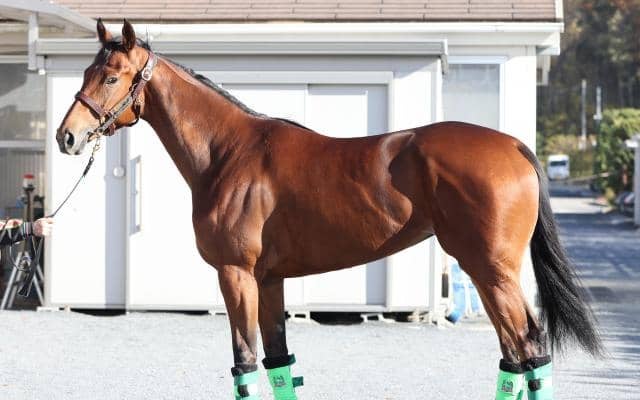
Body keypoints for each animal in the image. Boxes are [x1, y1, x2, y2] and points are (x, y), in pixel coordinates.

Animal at [56, 19, 602, 400]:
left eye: (110, 77)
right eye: (85, 71)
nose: (67, 137)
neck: (229, 152)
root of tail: (513, 145)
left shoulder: (236, 275)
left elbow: (244, 364)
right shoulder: (269, 280)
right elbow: (278, 364)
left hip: (493, 271)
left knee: (529, 351)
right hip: (486, 274)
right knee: (515, 357)